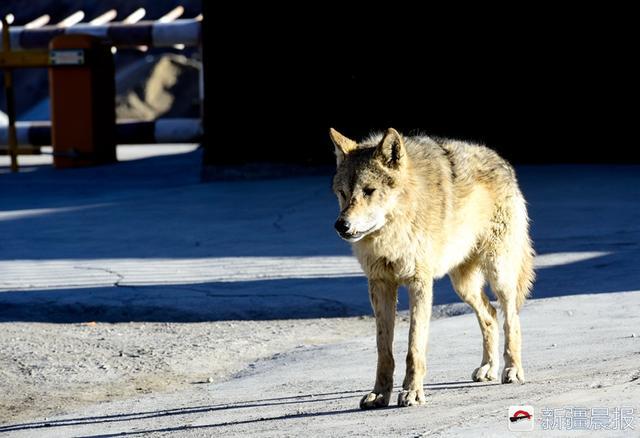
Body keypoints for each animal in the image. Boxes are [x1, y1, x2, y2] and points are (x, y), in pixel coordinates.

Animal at [330, 126, 536, 408]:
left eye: (369, 190)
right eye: (342, 193)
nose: (341, 225)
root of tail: (502, 161)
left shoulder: (420, 283)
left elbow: (414, 346)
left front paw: (412, 392)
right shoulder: (380, 284)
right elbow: (384, 350)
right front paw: (380, 394)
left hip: (498, 273)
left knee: (510, 319)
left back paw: (512, 369)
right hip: (463, 286)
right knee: (491, 315)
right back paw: (488, 368)